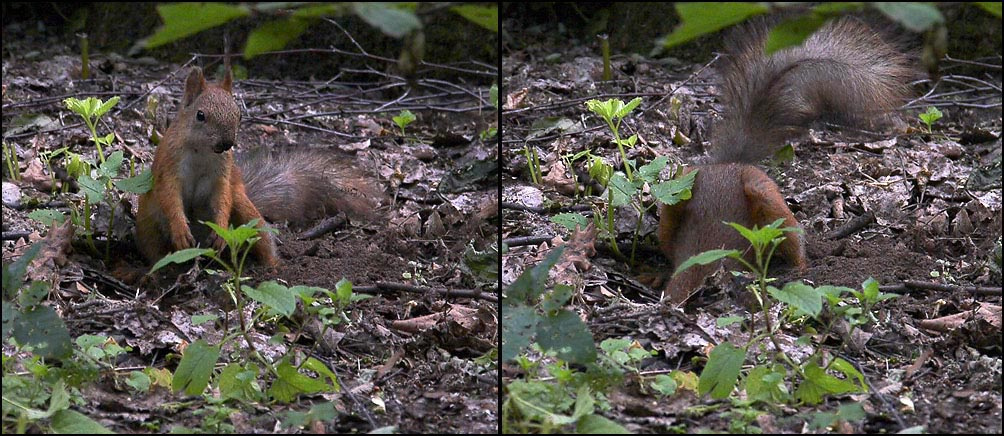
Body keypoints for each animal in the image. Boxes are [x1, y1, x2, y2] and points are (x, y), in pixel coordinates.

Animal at [135, 66, 385, 267]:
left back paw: (273, 267)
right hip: (147, 223)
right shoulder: (169, 167)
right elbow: (170, 196)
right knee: (154, 252)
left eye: (239, 115)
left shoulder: (223, 175)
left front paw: (221, 229)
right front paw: (180, 230)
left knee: (262, 240)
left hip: (247, 212)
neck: (202, 150)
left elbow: (222, 197)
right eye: (200, 115)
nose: (226, 143)